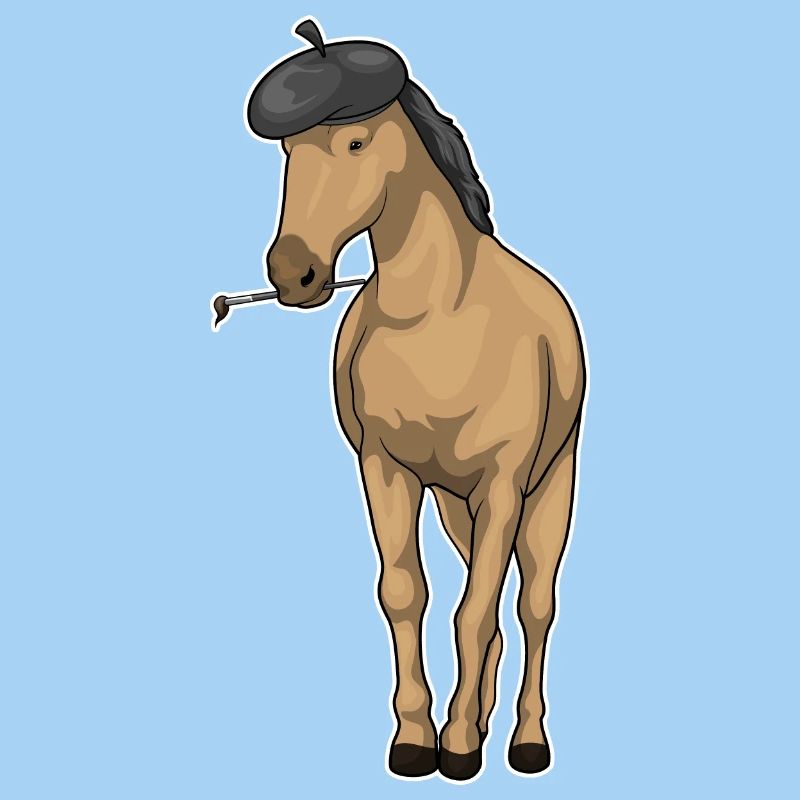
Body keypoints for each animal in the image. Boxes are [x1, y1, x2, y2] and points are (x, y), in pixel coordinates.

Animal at [262, 78, 587, 781]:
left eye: (356, 143)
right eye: (289, 154)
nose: (293, 273)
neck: (438, 318)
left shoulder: (503, 484)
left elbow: (478, 612)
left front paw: (459, 745)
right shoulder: (387, 472)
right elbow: (406, 593)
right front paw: (417, 738)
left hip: (546, 489)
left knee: (533, 606)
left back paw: (524, 740)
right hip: (455, 505)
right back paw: (482, 720)